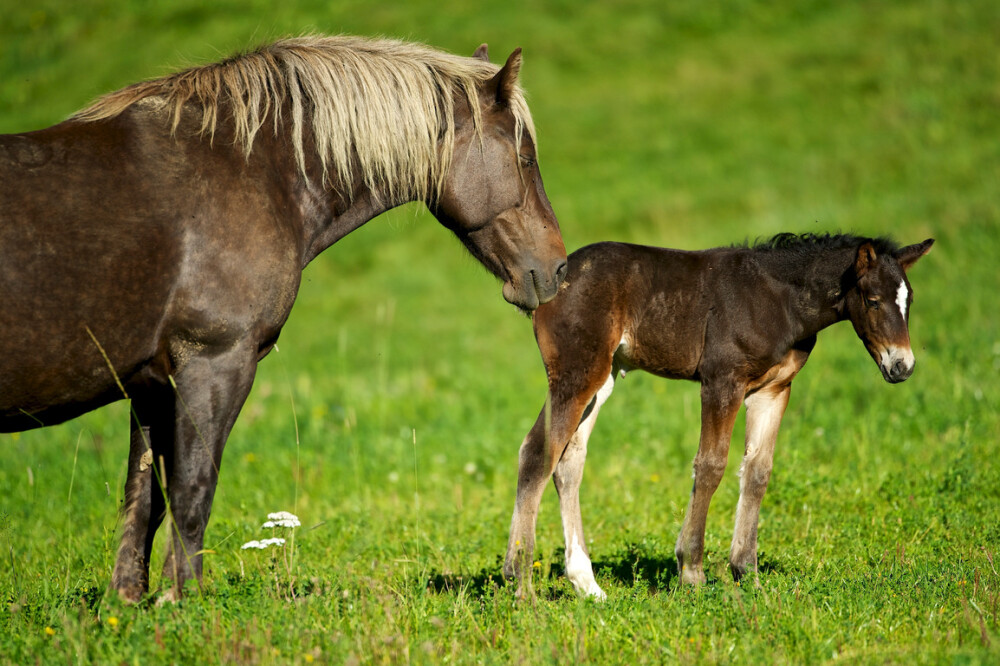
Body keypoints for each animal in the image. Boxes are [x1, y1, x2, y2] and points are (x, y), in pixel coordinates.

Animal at [0, 33, 568, 600]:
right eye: (525, 157)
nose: (558, 268)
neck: (248, 170)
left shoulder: (150, 383)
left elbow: (143, 500)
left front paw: (130, 603)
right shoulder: (212, 362)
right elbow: (191, 489)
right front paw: (181, 600)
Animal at [504, 233, 932, 596]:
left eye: (910, 301)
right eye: (873, 300)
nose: (902, 366)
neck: (779, 301)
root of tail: (550, 280)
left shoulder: (773, 390)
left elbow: (758, 472)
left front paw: (747, 572)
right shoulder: (721, 380)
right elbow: (711, 465)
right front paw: (691, 570)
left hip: (603, 377)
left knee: (568, 461)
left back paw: (586, 584)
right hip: (577, 372)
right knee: (538, 452)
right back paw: (520, 581)